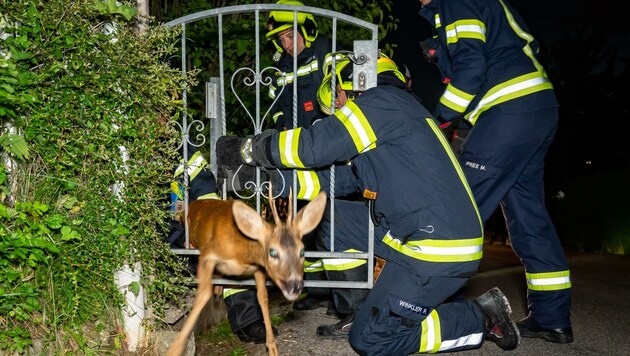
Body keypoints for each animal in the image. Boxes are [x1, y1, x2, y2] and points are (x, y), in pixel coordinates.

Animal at [165, 188, 328, 354]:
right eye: (273, 252)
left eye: (302, 251)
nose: (295, 286)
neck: (243, 252)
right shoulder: (208, 254)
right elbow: (203, 295)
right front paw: (175, 348)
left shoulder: (259, 269)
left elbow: (262, 298)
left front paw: (272, 348)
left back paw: (219, 288)